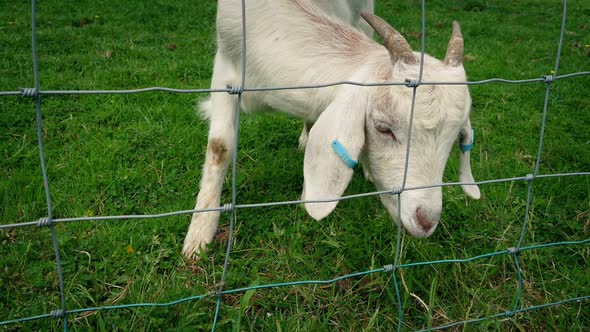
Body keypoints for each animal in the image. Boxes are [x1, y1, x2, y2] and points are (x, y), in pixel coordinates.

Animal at [183, 0, 484, 258]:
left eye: (456, 138)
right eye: (383, 128)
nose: (425, 221)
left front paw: (308, 194)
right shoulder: (224, 73)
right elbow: (220, 147)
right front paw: (199, 234)